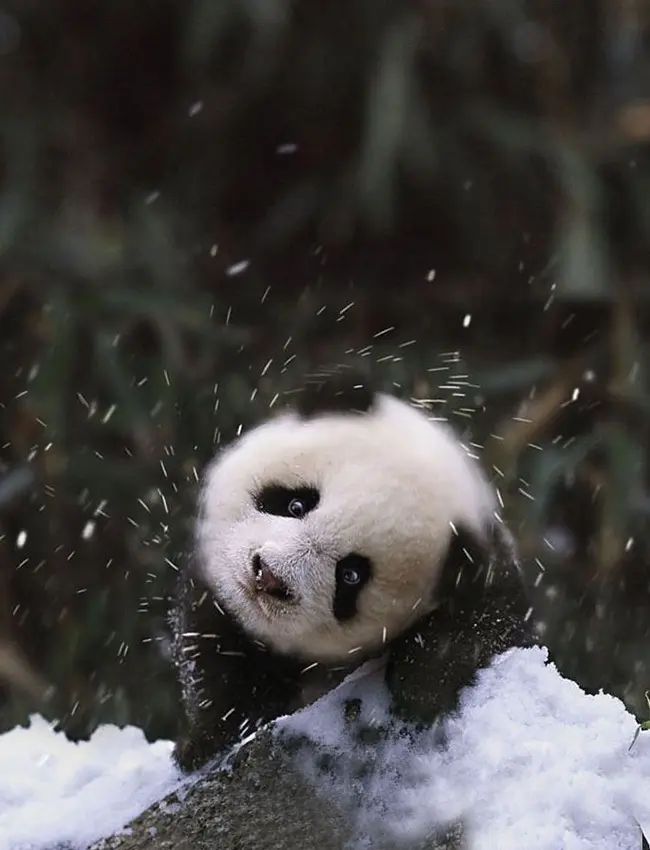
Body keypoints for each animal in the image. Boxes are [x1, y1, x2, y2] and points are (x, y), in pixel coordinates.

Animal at [171, 368, 535, 772]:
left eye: (350, 576)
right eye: (296, 504)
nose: (269, 576)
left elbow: (487, 626)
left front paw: (419, 682)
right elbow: (214, 653)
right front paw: (206, 742)